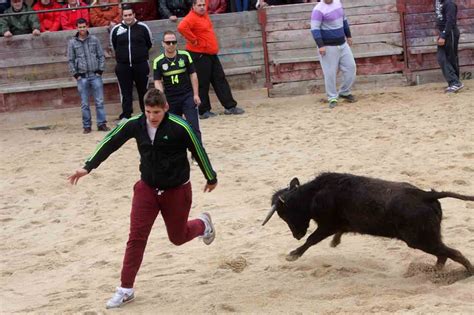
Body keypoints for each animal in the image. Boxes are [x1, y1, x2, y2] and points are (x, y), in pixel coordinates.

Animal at [262, 173, 474, 274]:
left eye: (284, 214)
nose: (297, 235)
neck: (314, 194)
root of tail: (425, 195)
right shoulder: (336, 226)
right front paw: (335, 242)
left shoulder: (327, 226)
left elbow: (312, 240)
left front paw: (293, 255)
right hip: (427, 239)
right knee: (443, 254)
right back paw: (435, 271)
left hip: (420, 240)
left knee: (452, 252)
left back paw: (468, 272)